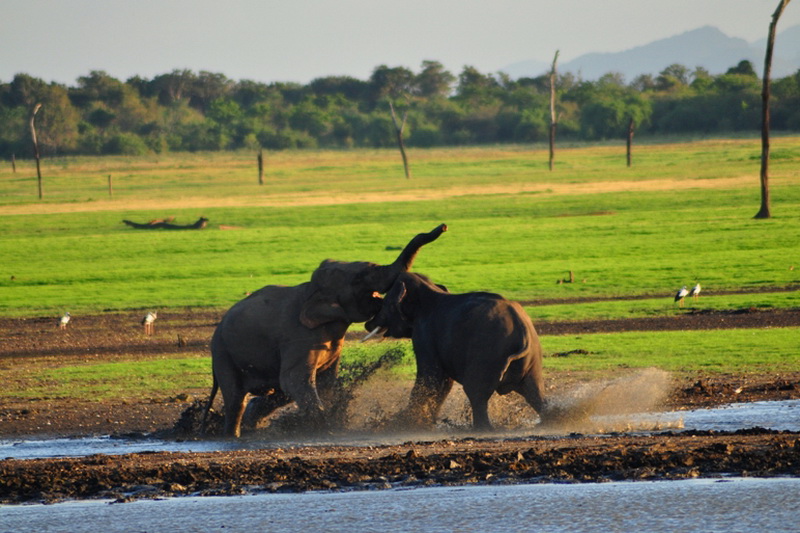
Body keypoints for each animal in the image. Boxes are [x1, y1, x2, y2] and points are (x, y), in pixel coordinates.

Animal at [200, 224, 446, 436]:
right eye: (359, 279)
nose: (442, 227)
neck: (311, 290)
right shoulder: (297, 337)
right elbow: (295, 380)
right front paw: (326, 427)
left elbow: (325, 382)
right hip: (223, 354)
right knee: (236, 399)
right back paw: (234, 434)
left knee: (274, 393)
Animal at [364, 272, 548, 430]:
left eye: (386, 304)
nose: (368, 325)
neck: (430, 289)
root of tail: (522, 331)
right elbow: (444, 382)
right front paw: (426, 423)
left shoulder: (424, 333)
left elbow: (431, 376)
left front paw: (405, 423)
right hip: (530, 359)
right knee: (534, 392)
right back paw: (549, 420)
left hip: (488, 354)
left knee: (476, 392)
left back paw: (482, 429)